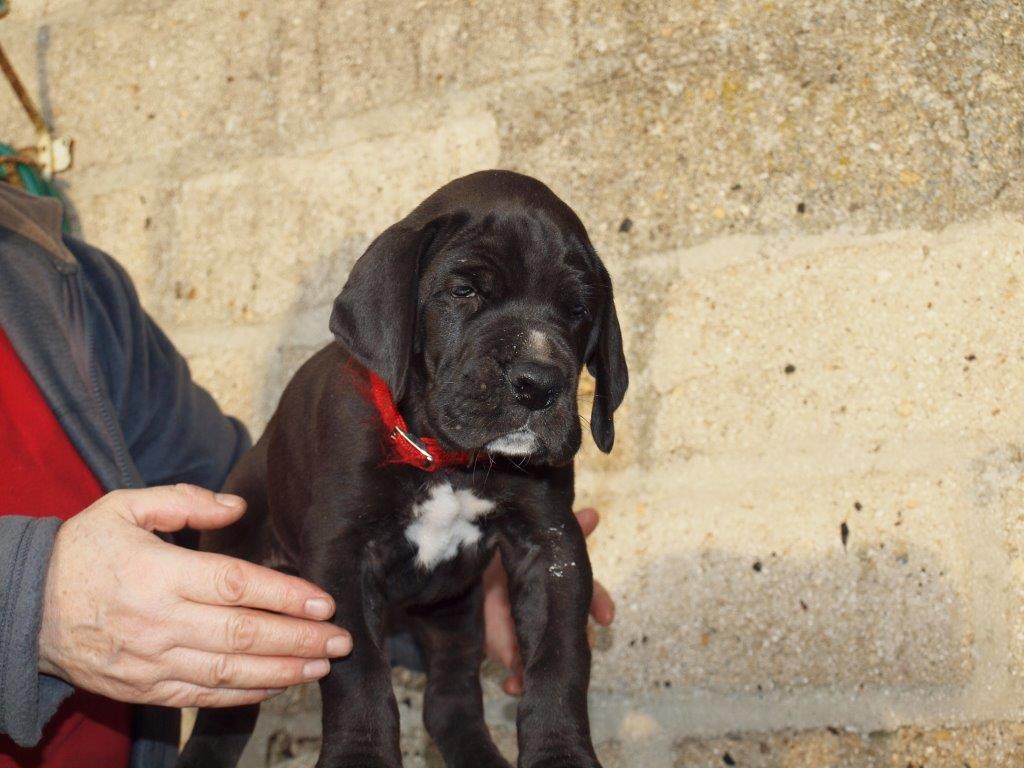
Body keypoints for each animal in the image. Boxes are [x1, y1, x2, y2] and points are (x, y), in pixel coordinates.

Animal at [180, 171, 626, 765]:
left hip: (453, 612)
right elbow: (359, 673)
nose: (538, 383)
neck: (446, 460)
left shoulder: (551, 544)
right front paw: (359, 757)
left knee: (449, 701)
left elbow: (560, 659)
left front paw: (561, 755)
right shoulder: (341, 554)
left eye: (578, 310)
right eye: (463, 291)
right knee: (222, 716)